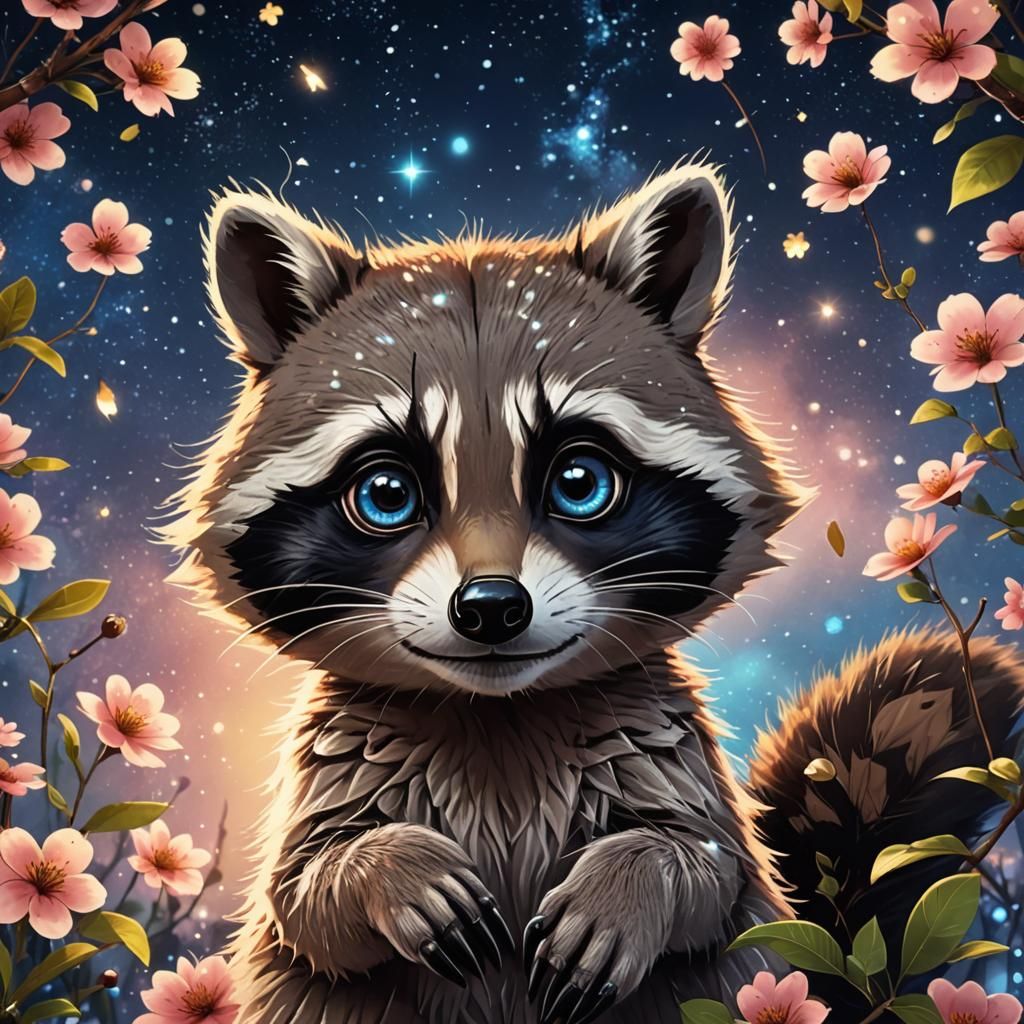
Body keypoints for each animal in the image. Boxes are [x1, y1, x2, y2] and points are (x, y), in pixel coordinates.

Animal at [162, 163, 1024, 1024]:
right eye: (385, 494)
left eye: (580, 481)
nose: (491, 608)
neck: (498, 714)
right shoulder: (335, 766)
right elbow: (303, 895)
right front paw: (385, 866)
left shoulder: (667, 751)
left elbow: (711, 871)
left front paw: (636, 875)